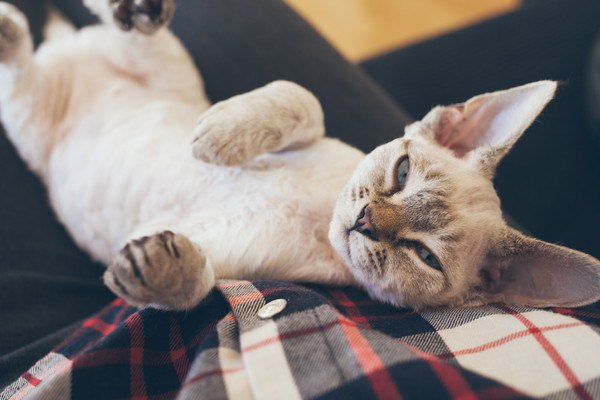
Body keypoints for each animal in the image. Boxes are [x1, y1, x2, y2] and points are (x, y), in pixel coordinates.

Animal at [1, 0, 600, 310]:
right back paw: (136, 9)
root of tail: (63, 53)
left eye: (424, 256)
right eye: (402, 172)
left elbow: (198, 284)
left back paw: (13, 24)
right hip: (164, 61)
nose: (365, 221)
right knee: (111, 25)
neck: (316, 216)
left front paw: (160, 273)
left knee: (22, 59)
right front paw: (218, 136)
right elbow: (301, 95)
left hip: (30, 114)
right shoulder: (310, 123)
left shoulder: (231, 263)